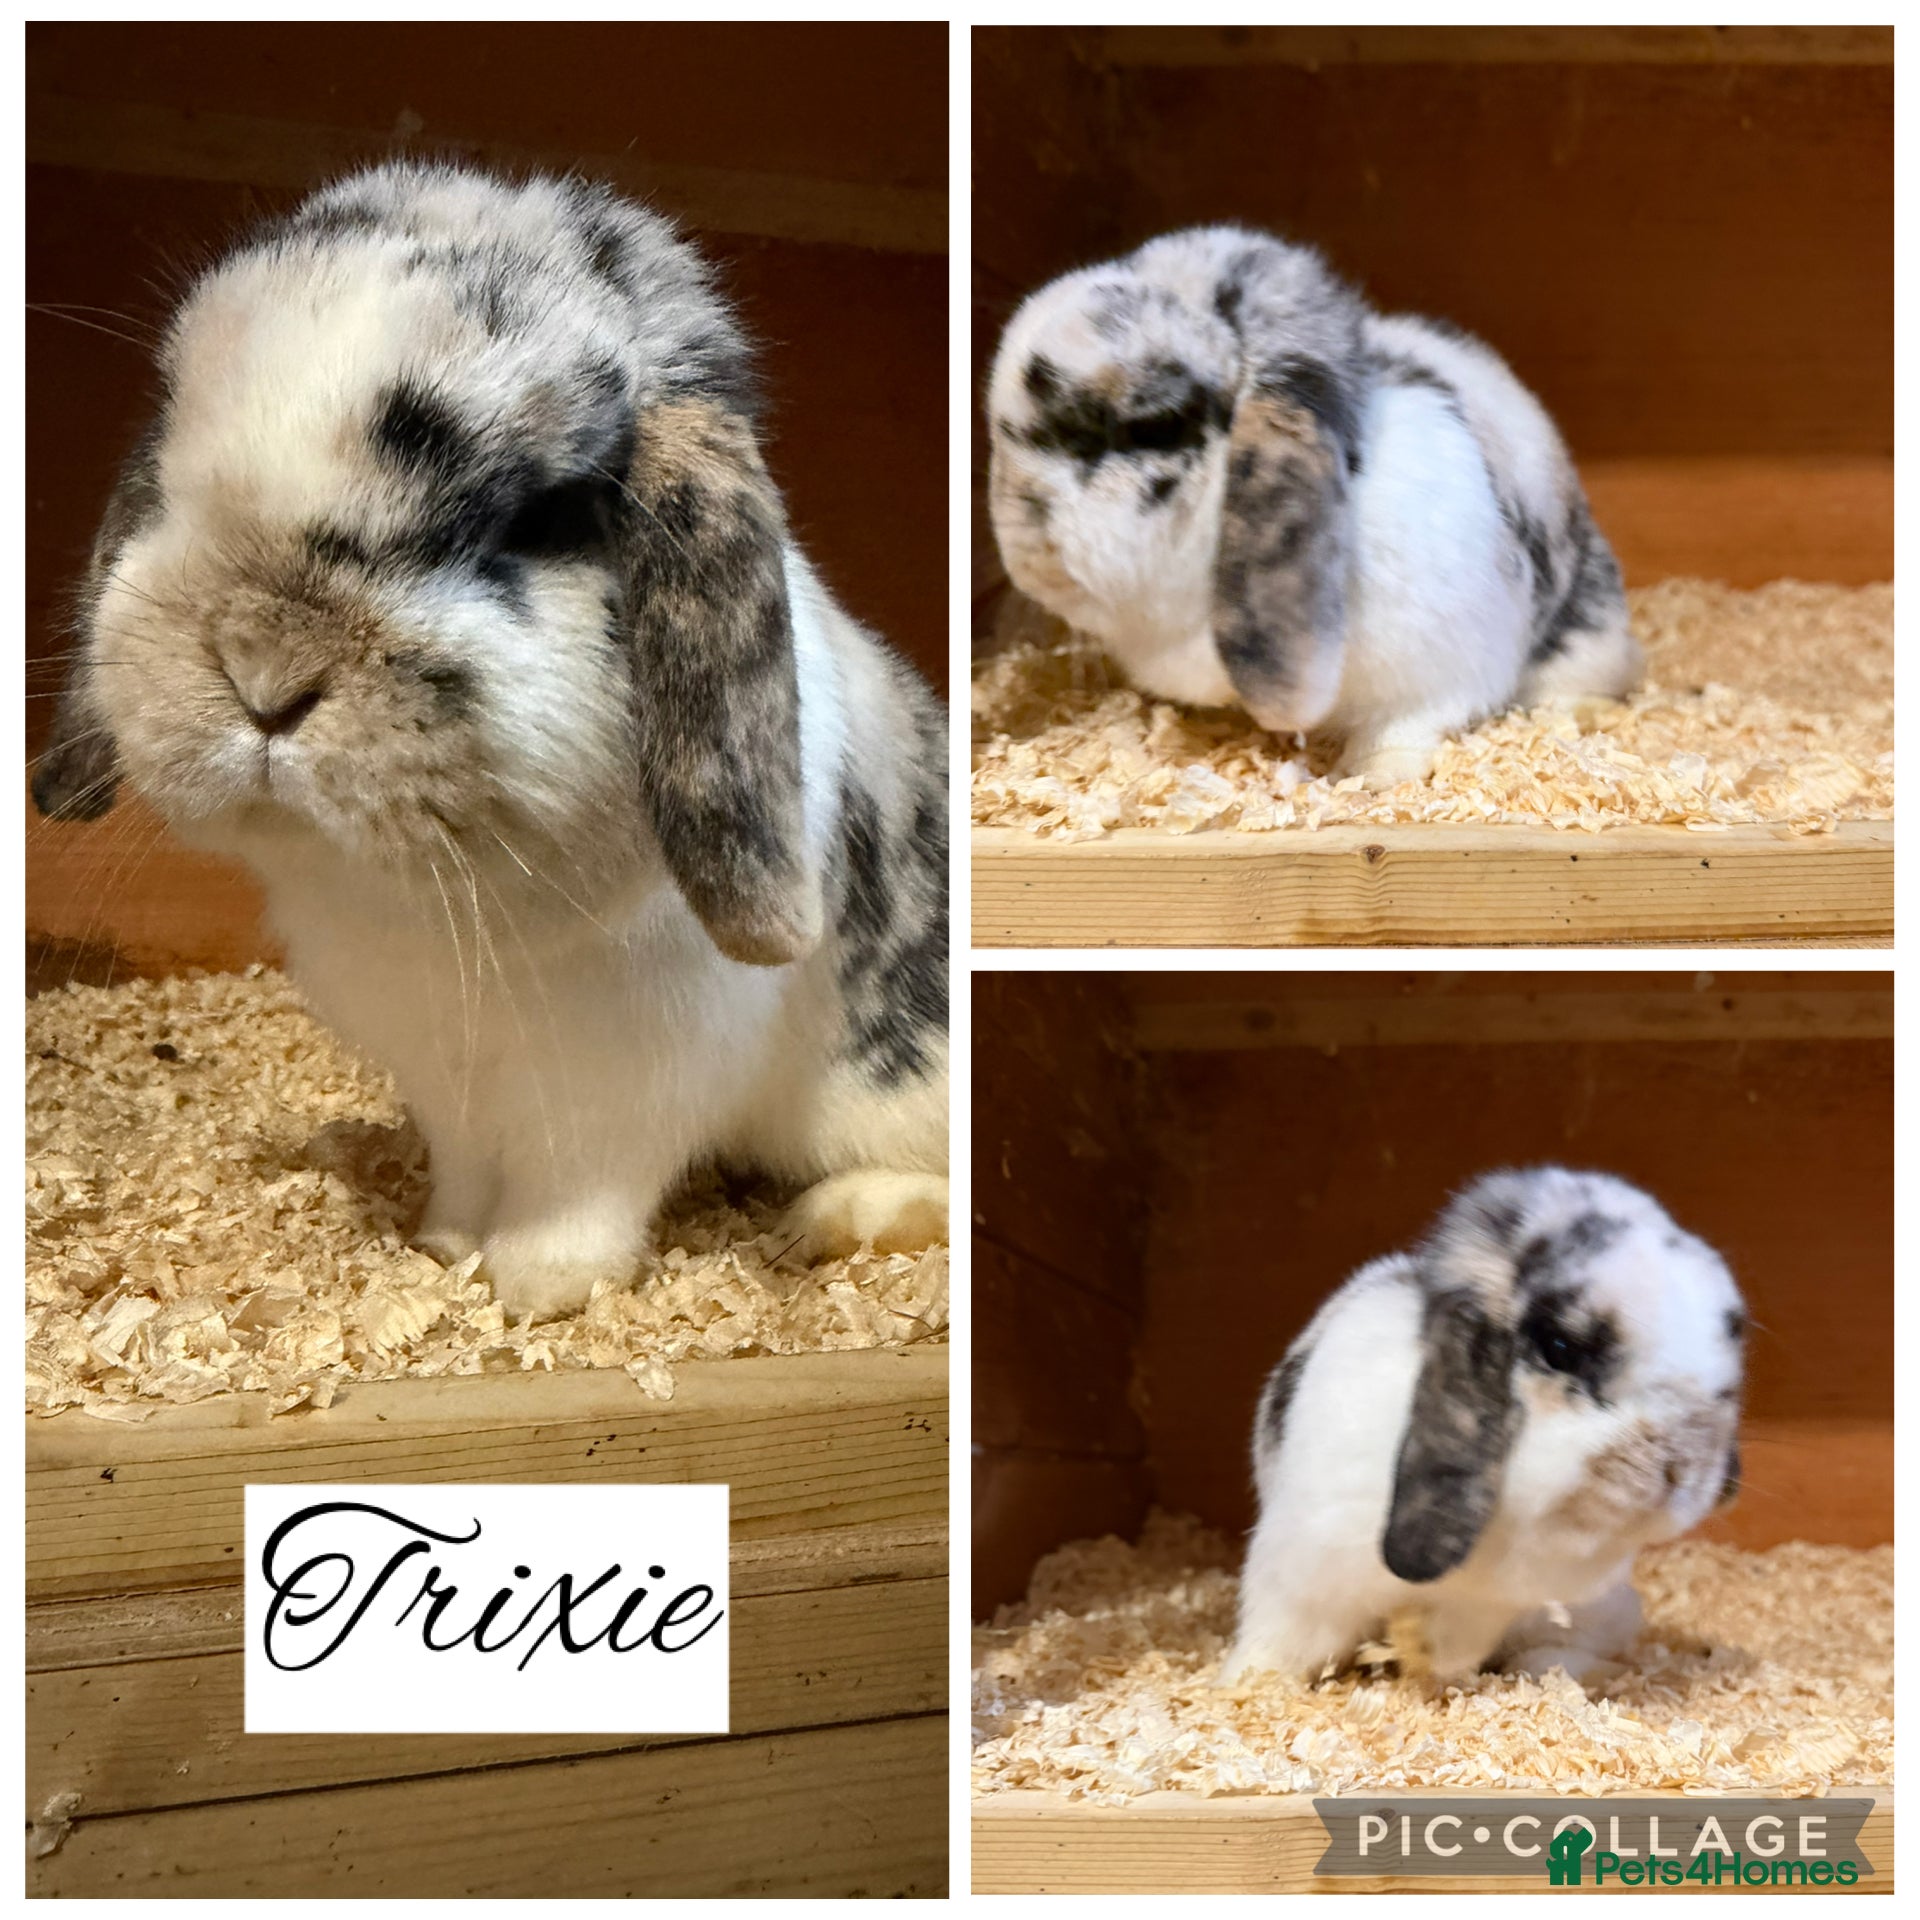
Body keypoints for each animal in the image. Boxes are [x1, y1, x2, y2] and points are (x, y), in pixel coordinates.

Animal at [31, 161, 949, 1324]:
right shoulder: (449, 1086)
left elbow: (580, 1199)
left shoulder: (625, 1091)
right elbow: (467, 1174)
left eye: (534, 522)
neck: (420, 908)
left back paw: (838, 1216)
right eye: (174, 470)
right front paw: (444, 1249)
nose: (261, 670)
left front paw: (537, 1290)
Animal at [1220, 1167, 1745, 1687]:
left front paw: (1422, 1659)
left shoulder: (1488, 1608)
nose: (1676, 1468)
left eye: (1725, 1382)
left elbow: (1452, 1649)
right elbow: (1278, 1649)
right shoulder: (1296, 1580)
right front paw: (1241, 1683)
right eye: (1559, 1348)